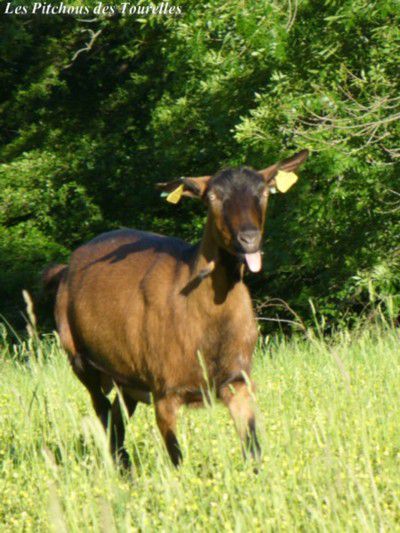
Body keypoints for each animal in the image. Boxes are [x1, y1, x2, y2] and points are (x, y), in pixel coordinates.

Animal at [43, 149, 308, 466]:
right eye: (213, 197)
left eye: (264, 192)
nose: (249, 239)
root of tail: (65, 269)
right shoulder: (165, 391)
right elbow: (177, 459)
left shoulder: (237, 380)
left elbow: (253, 448)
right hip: (80, 360)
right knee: (104, 414)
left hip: (126, 376)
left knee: (117, 417)